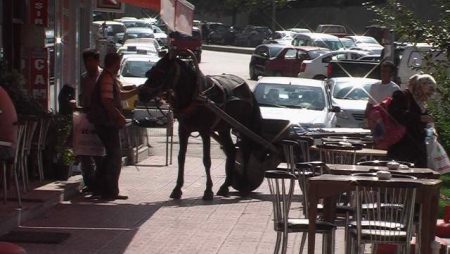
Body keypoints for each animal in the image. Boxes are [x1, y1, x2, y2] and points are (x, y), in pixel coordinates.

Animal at [139, 49, 268, 200]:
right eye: (150, 71)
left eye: (160, 71)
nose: (141, 94)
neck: (195, 96)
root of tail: (248, 90)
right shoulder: (183, 130)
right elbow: (181, 158)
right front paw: (177, 189)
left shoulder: (205, 131)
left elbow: (207, 160)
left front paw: (208, 190)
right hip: (224, 128)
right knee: (231, 151)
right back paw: (225, 186)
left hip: (243, 126)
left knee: (246, 151)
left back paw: (244, 186)